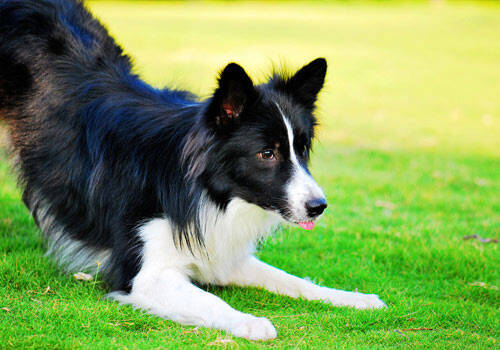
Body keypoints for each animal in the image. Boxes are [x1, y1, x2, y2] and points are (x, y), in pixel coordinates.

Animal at [0, 0, 384, 340]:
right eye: (267, 153)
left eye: (301, 149)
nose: (319, 207)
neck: (201, 186)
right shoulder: (146, 274)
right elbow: (211, 300)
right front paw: (250, 322)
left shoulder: (220, 248)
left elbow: (291, 279)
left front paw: (353, 298)